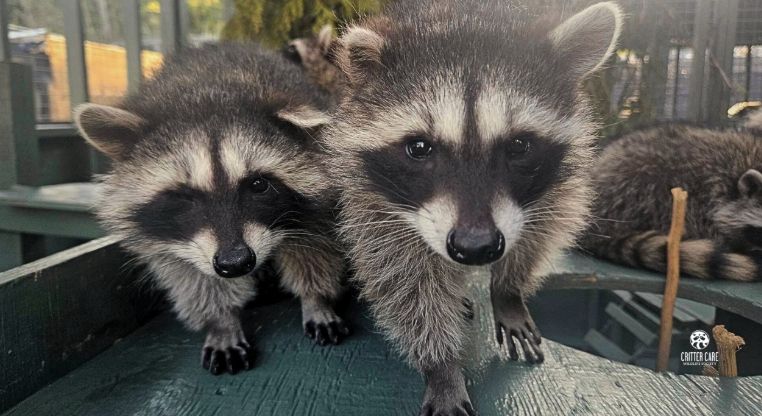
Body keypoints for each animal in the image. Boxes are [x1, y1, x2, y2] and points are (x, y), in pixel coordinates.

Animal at [74, 43, 350, 376]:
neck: (209, 89)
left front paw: (316, 299)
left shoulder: (316, 209)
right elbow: (195, 279)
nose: (236, 263)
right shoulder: (171, 241)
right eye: (184, 196)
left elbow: (314, 252)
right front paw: (221, 322)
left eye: (258, 185)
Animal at [323, 1, 622, 414]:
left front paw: (509, 292)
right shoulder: (375, 201)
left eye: (519, 146)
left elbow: (539, 233)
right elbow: (404, 280)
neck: (466, 16)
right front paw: (441, 367)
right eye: (419, 148)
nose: (476, 247)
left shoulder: (553, 190)